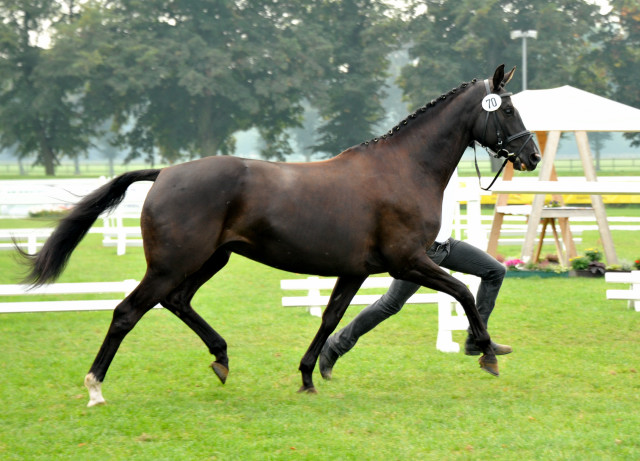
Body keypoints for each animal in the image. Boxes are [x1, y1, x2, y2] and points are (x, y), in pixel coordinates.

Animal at [18, 65, 540, 406]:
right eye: (508, 109)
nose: (532, 156)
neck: (403, 169)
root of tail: (165, 173)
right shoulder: (409, 260)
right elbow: (463, 293)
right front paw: (487, 353)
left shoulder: (356, 270)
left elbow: (331, 318)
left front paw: (309, 375)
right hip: (173, 264)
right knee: (128, 312)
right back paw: (95, 387)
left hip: (210, 260)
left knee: (177, 301)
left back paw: (221, 357)